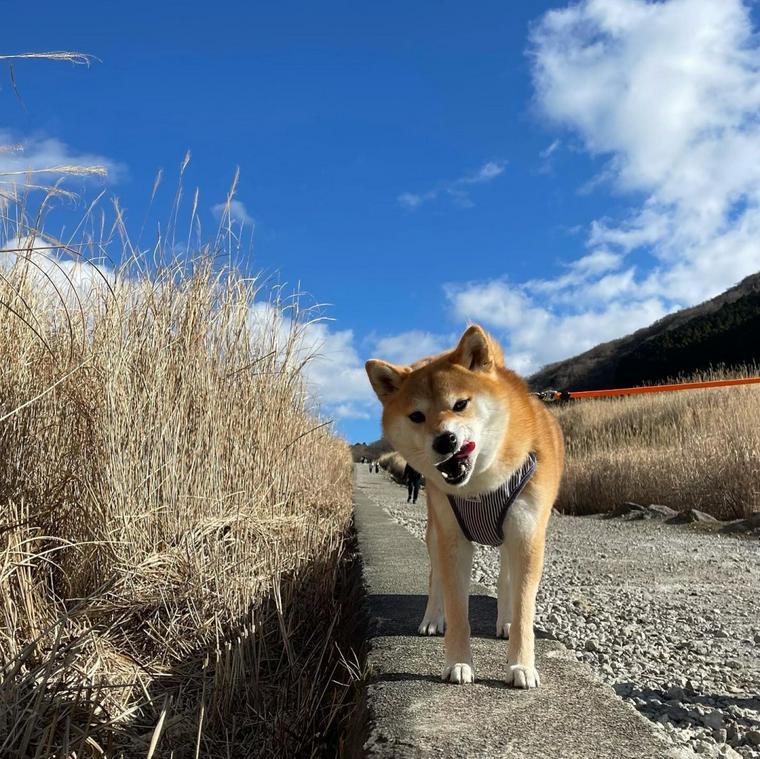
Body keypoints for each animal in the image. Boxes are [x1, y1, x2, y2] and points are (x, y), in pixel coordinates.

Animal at [366, 326, 568, 688]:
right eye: (416, 416)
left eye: (460, 404)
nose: (444, 440)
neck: (481, 484)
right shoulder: (453, 540)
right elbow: (457, 607)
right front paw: (458, 662)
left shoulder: (527, 536)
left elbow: (524, 607)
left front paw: (521, 664)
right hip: (435, 529)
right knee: (435, 578)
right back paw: (433, 619)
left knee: (505, 579)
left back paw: (504, 621)